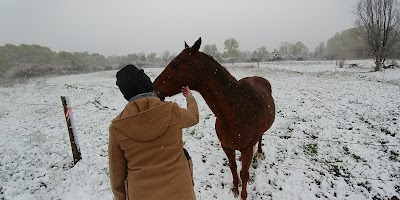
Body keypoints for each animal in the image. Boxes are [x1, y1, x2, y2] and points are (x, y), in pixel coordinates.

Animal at [153, 38, 276, 200]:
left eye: (175, 64)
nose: (153, 88)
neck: (235, 112)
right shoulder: (226, 146)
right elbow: (233, 167)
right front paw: (235, 190)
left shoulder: (247, 149)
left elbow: (244, 173)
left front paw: (243, 195)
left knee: (261, 137)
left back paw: (260, 152)